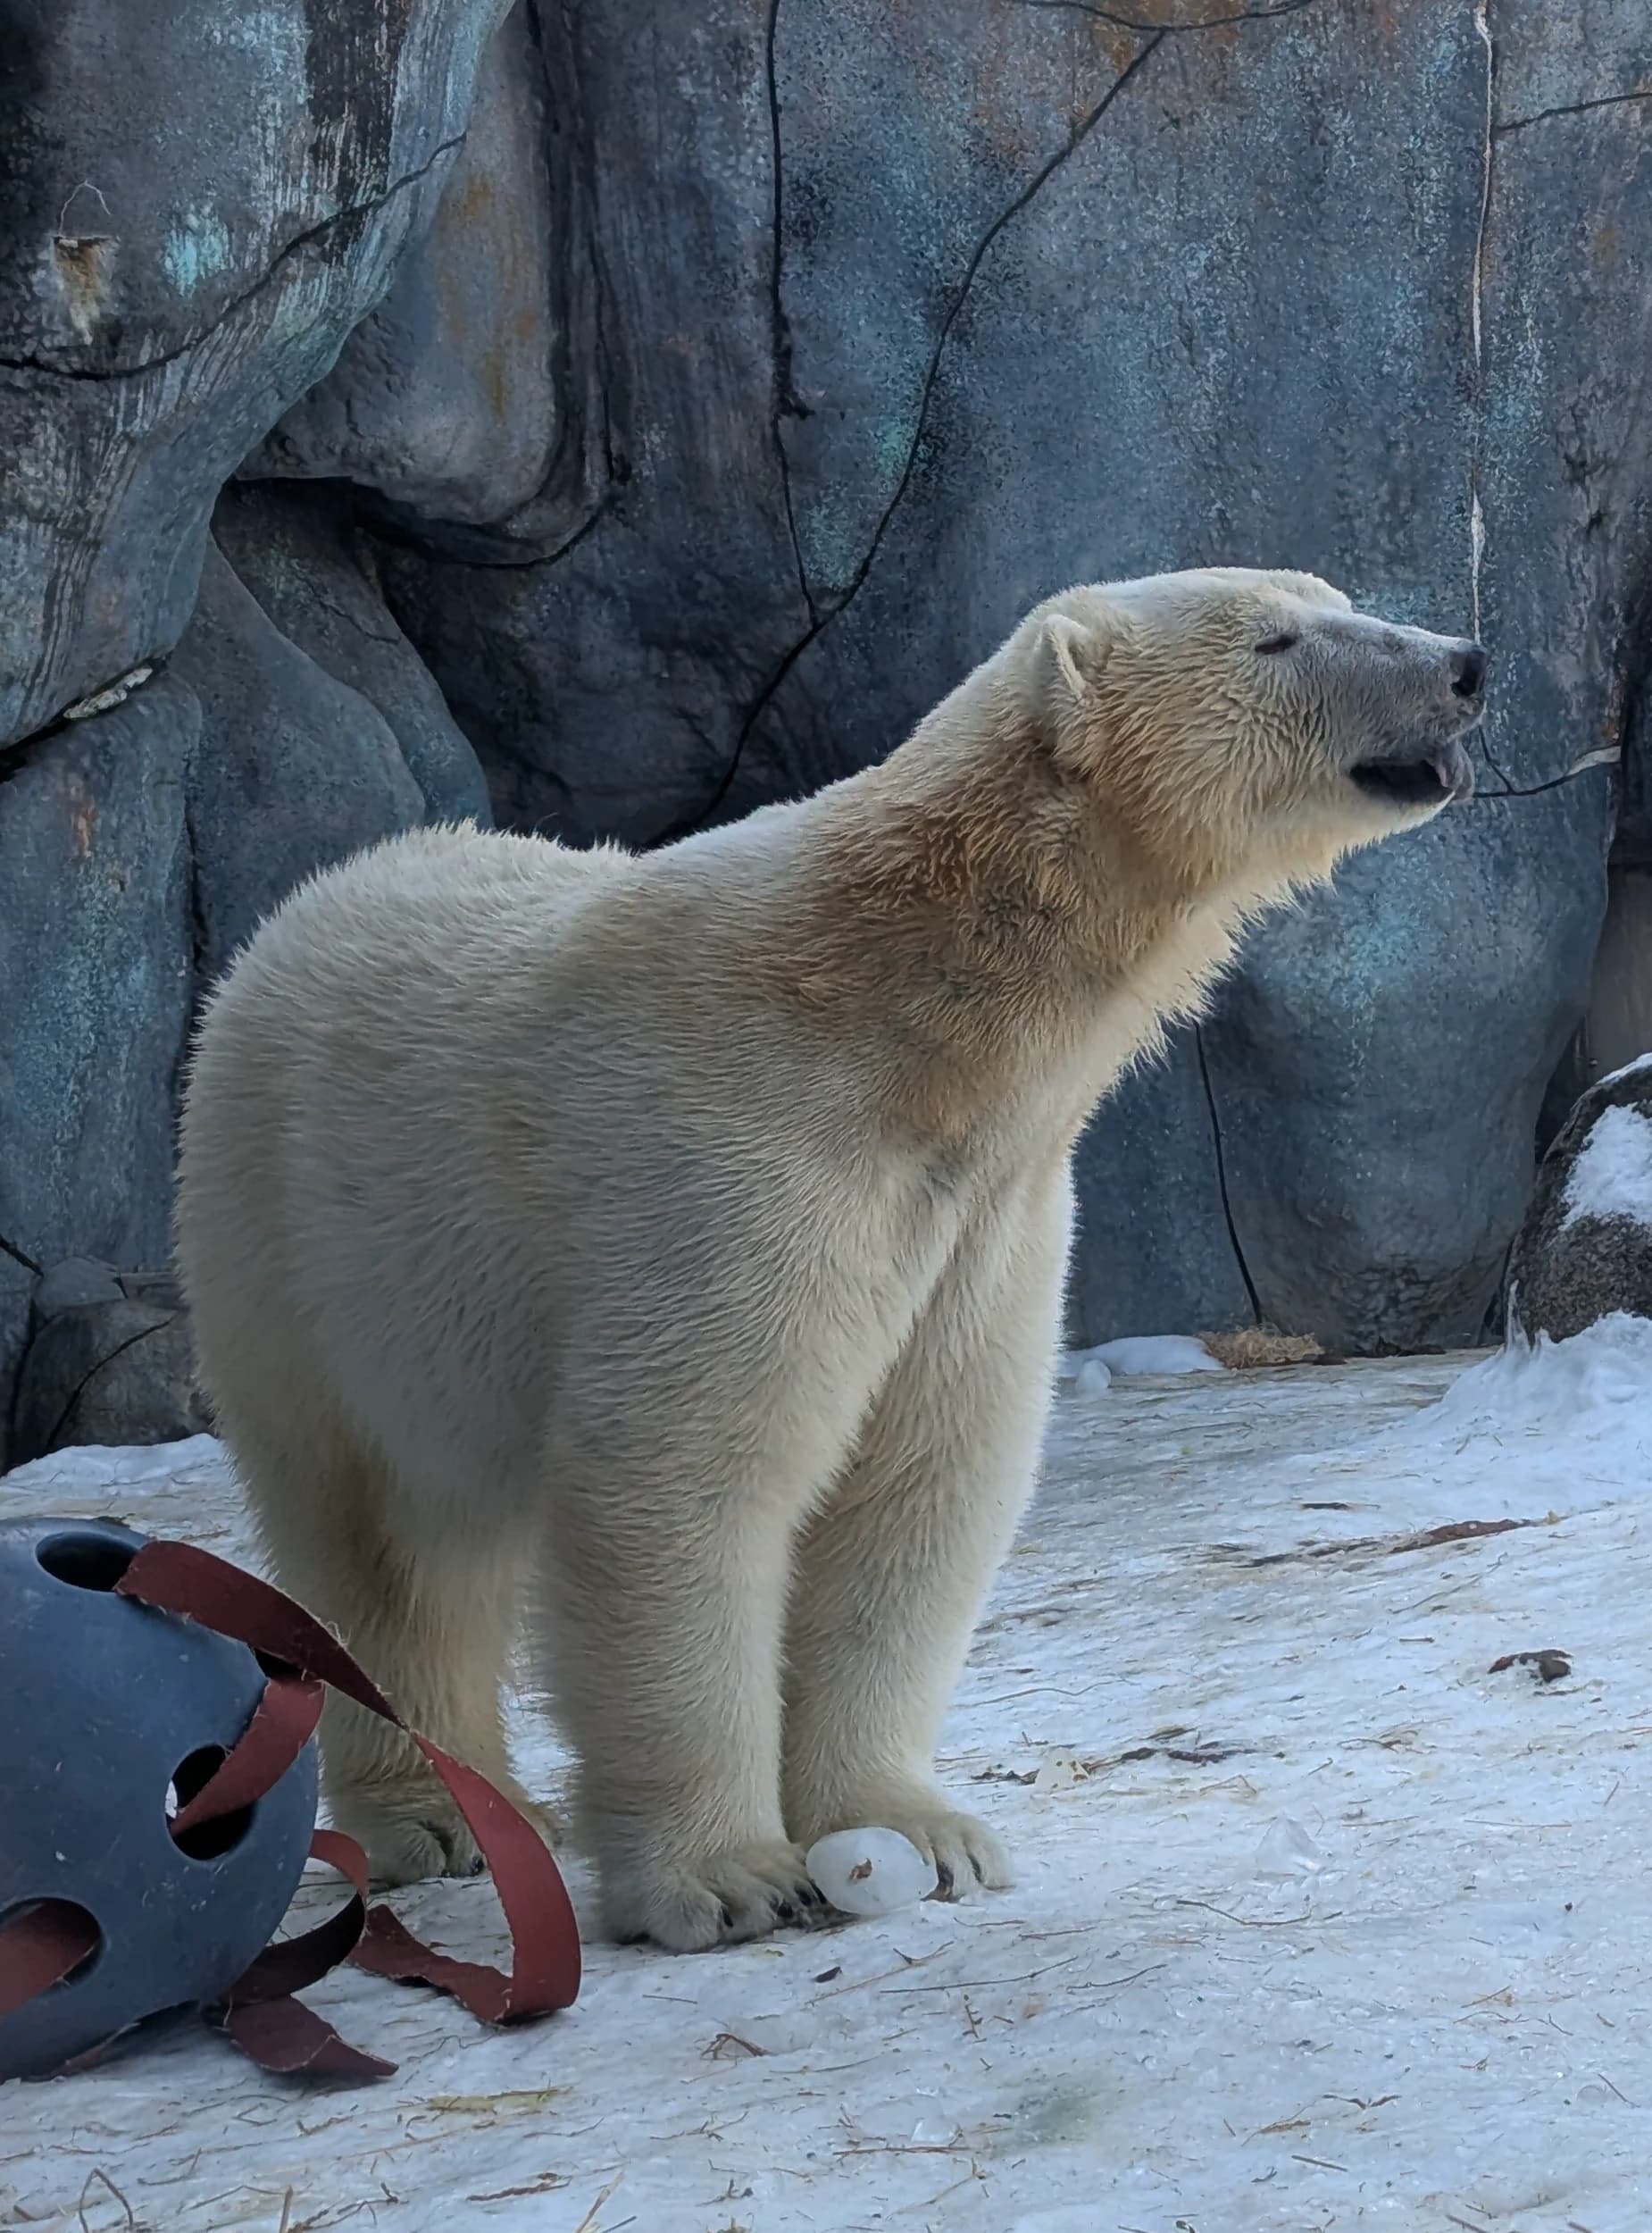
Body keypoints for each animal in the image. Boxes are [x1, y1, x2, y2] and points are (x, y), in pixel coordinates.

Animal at [175, 567, 1485, 1952]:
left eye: (1329, 596)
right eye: (1275, 636)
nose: (1464, 664)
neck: (910, 1019)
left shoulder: (980, 1215)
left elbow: (920, 1474)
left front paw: (919, 1832)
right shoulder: (740, 1157)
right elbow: (687, 1470)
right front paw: (726, 1875)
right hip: (299, 1239)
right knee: (371, 1539)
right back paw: (435, 1814)